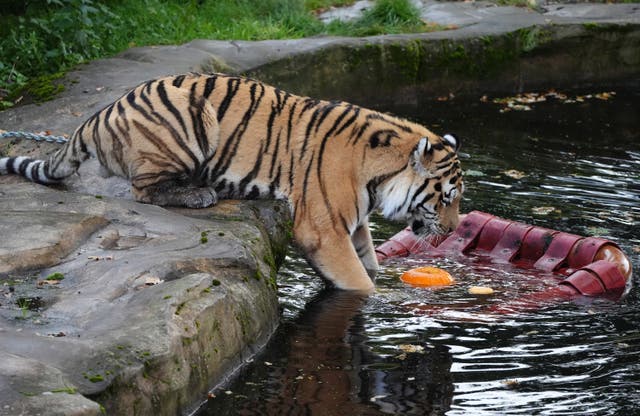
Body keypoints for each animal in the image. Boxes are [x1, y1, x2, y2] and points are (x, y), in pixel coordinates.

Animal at [0, 72, 464, 292]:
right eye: (446, 199)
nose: (454, 228)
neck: (380, 176)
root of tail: (103, 112)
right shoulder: (323, 229)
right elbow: (358, 281)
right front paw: (378, 298)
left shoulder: (354, 222)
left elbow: (368, 257)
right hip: (189, 119)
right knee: (144, 190)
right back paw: (200, 193)